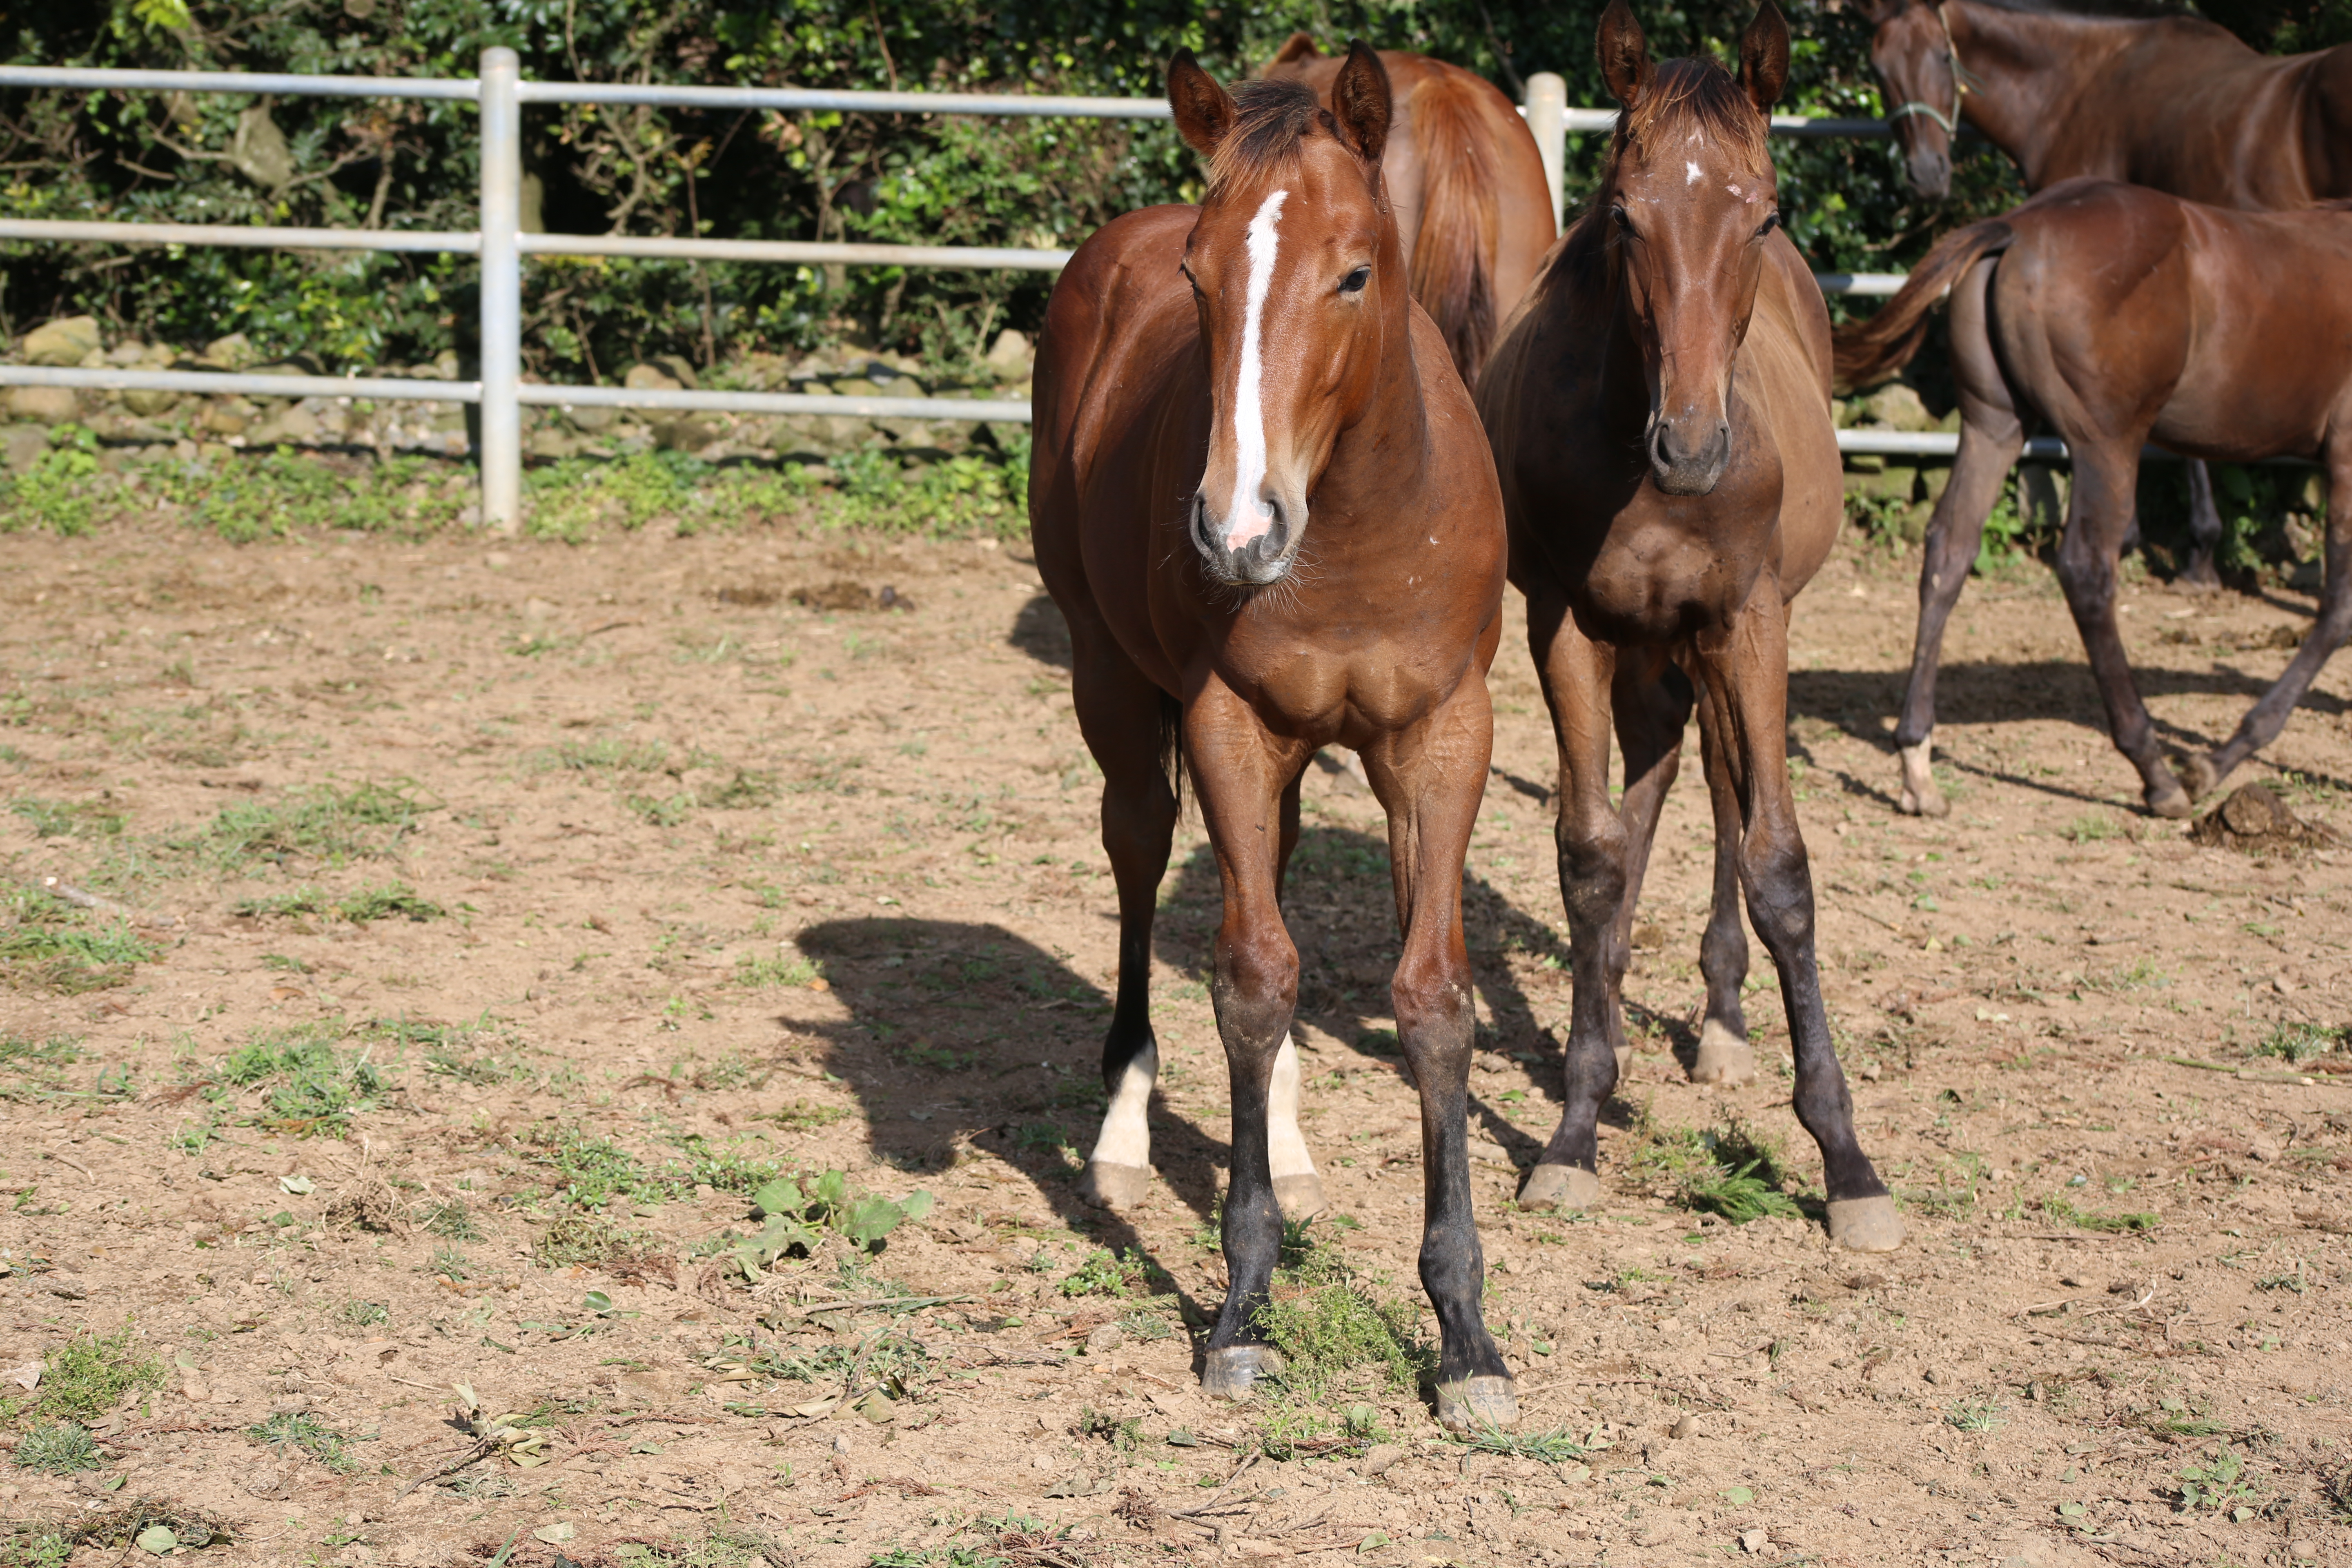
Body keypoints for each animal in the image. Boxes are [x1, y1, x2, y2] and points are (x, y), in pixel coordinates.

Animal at [1035, 46, 1524, 1420]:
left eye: (1354, 272)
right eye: (1200, 278)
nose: (1236, 528)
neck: (1355, 524)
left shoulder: (1443, 734)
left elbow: (1433, 999)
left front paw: (1465, 1333)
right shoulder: (1228, 725)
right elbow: (1251, 980)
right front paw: (1243, 1305)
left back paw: (1296, 1149)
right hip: (1114, 689)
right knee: (1140, 861)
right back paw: (1124, 1130)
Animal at [1486, 0, 1910, 1250]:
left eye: (1760, 213)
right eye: (1624, 216)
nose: (1691, 444)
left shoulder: (1747, 621)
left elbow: (1778, 864)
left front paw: (1847, 1163)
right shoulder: (1566, 624)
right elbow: (1591, 856)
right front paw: (1575, 1122)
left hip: (1727, 637)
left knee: (1724, 788)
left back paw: (1723, 1021)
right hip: (1647, 650)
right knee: (1659, 787)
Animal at [1825, 181, 2352, 822]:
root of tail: (2018, 227)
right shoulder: (2347, 457)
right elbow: (2337, 611)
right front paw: (2215, 761)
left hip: (1995, 425)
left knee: (1949, 549)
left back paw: (1917, 764)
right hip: (2108, 444)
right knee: (2086, 571)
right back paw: (2155, 772)